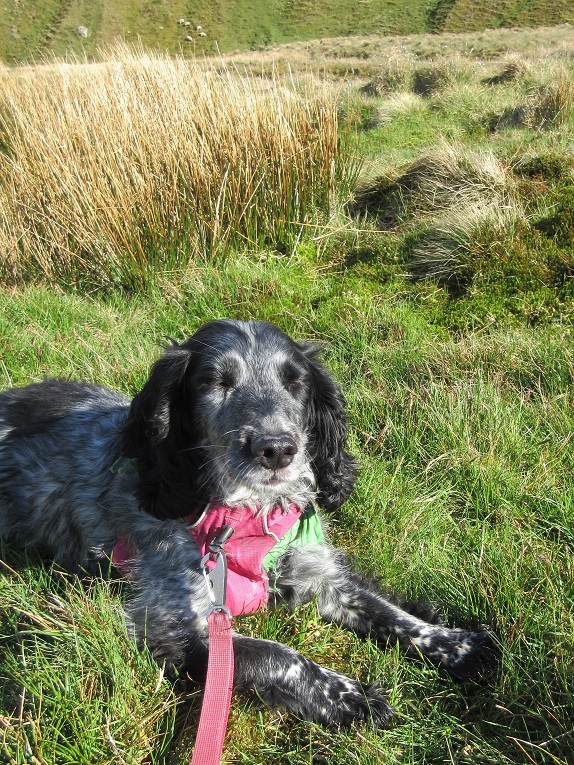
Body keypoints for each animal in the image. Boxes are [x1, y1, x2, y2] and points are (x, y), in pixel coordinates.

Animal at [0, 319, 496, 729]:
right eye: (214, 382)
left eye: (296, 382)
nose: (277, 449)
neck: (243, 518)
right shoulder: (174, 626)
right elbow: (277, 656)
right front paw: (348, 695)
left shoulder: (318, 572)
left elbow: (389, 613)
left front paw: (458, 645)